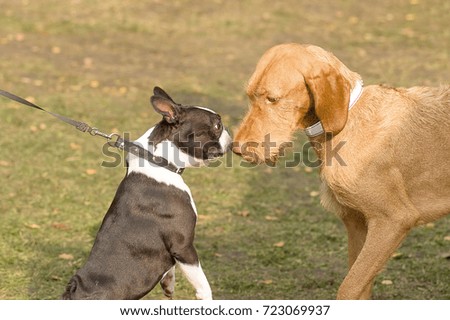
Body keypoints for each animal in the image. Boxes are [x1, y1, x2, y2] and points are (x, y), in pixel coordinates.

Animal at [62, 87, 232, 300]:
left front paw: (168, 283)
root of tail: (73, 290)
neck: (160, 161)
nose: (230, 133)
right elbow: (202, 282)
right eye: (217, 125)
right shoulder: (183, 246)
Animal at [232, 43, 450, 300]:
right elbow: (361, 288)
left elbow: (349, 287)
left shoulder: (393, 220)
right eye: (249, 95)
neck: (347, 120)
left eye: (273, 99)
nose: (236, 148)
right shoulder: (357, 223)